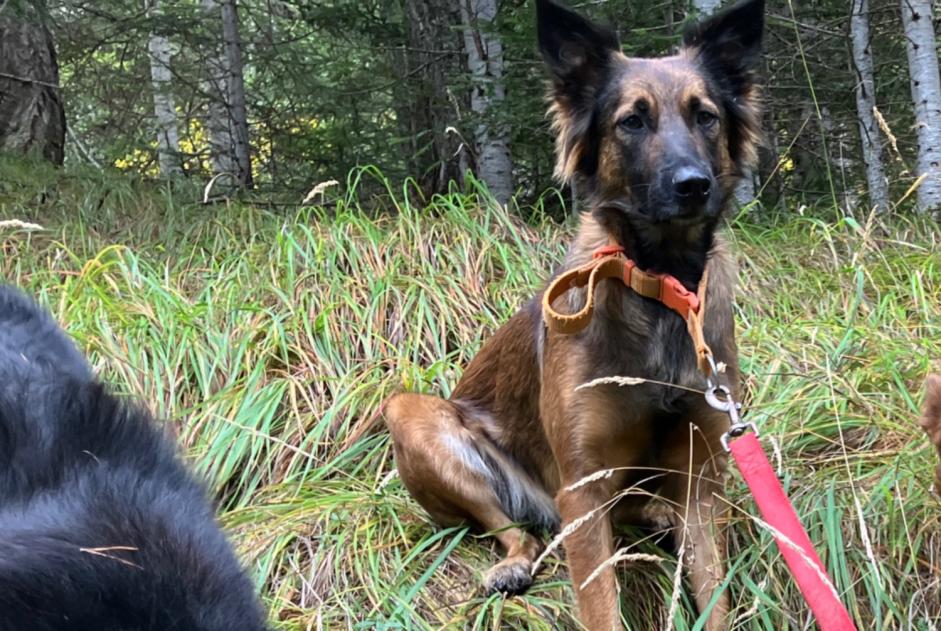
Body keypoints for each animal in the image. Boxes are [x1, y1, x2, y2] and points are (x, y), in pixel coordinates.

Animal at [386, 2, 760, 628]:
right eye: (632, 121)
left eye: (705, 116)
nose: (693, 185)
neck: (659, 287)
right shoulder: (583, 487)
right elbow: (601, 604)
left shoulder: (701, 480)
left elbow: (715, 598)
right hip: (414, 416)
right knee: (516, 529)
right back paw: (513, 563)